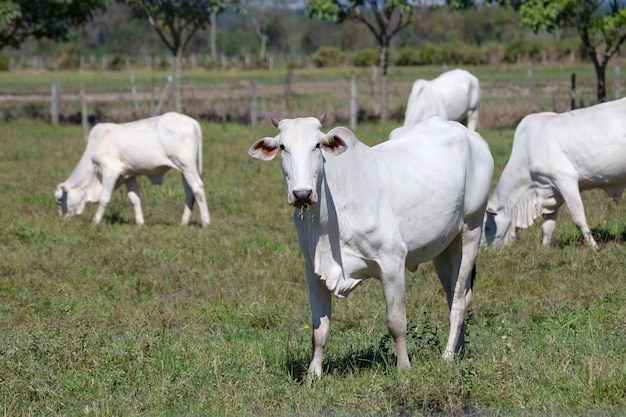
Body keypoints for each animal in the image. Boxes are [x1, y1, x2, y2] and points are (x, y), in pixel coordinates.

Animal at [54, 110, 210, 226]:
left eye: (59, 200)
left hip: (186, 165)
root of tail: (192, 122)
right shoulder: (129, 175)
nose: (61, 220)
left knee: (197, 188)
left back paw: (206, 222)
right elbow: (134, 199)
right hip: (184, 169)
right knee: (189, 192)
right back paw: (183, 222)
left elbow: (104, 198)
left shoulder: (111, 170)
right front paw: (140, 223)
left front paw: (95, 222)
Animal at [247, 114, 492, 376]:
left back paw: (447, 356)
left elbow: (396, 322)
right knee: (453, 294)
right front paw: (314, 374)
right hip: (445, 247)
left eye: (317, 145)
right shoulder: (313, 270)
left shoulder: (392, 261)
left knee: (460, 299)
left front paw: (404, 367)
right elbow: (319, 329)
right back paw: (459, 351)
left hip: (471, 228)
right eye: (283, 146)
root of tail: (471, 135)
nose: (302, 193)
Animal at [482, 96, 626, 249]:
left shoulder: (565, 180)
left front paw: (594, 247)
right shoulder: (551, 191)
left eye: (487, 227)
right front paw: (545, 248)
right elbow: (548, 226)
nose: (482, 249)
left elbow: (578, 218)